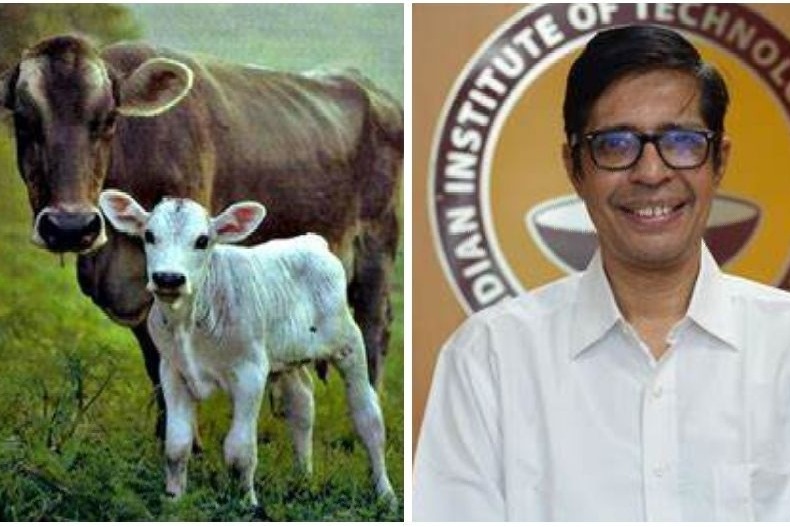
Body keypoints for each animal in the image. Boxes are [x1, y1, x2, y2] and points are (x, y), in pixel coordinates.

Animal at [0, 35, 402, 440]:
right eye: (22, 119)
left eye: (109, 118)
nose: (70, 226)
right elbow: (157, 360)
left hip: (376, 245)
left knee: (373, 328)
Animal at [98, 189, 395, 508]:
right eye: (149, 235)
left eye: (202, 240)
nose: (168, 278)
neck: (189, 321)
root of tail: (312, 241)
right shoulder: (172, 371)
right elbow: (176, 445)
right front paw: (174, 499)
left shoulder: (250, 372)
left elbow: (239, 450)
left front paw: (247, 504)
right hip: (285, 356)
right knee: (301, 405)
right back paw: (303, 479)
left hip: (348, 343)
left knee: (368, 417)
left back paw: (386, 494)